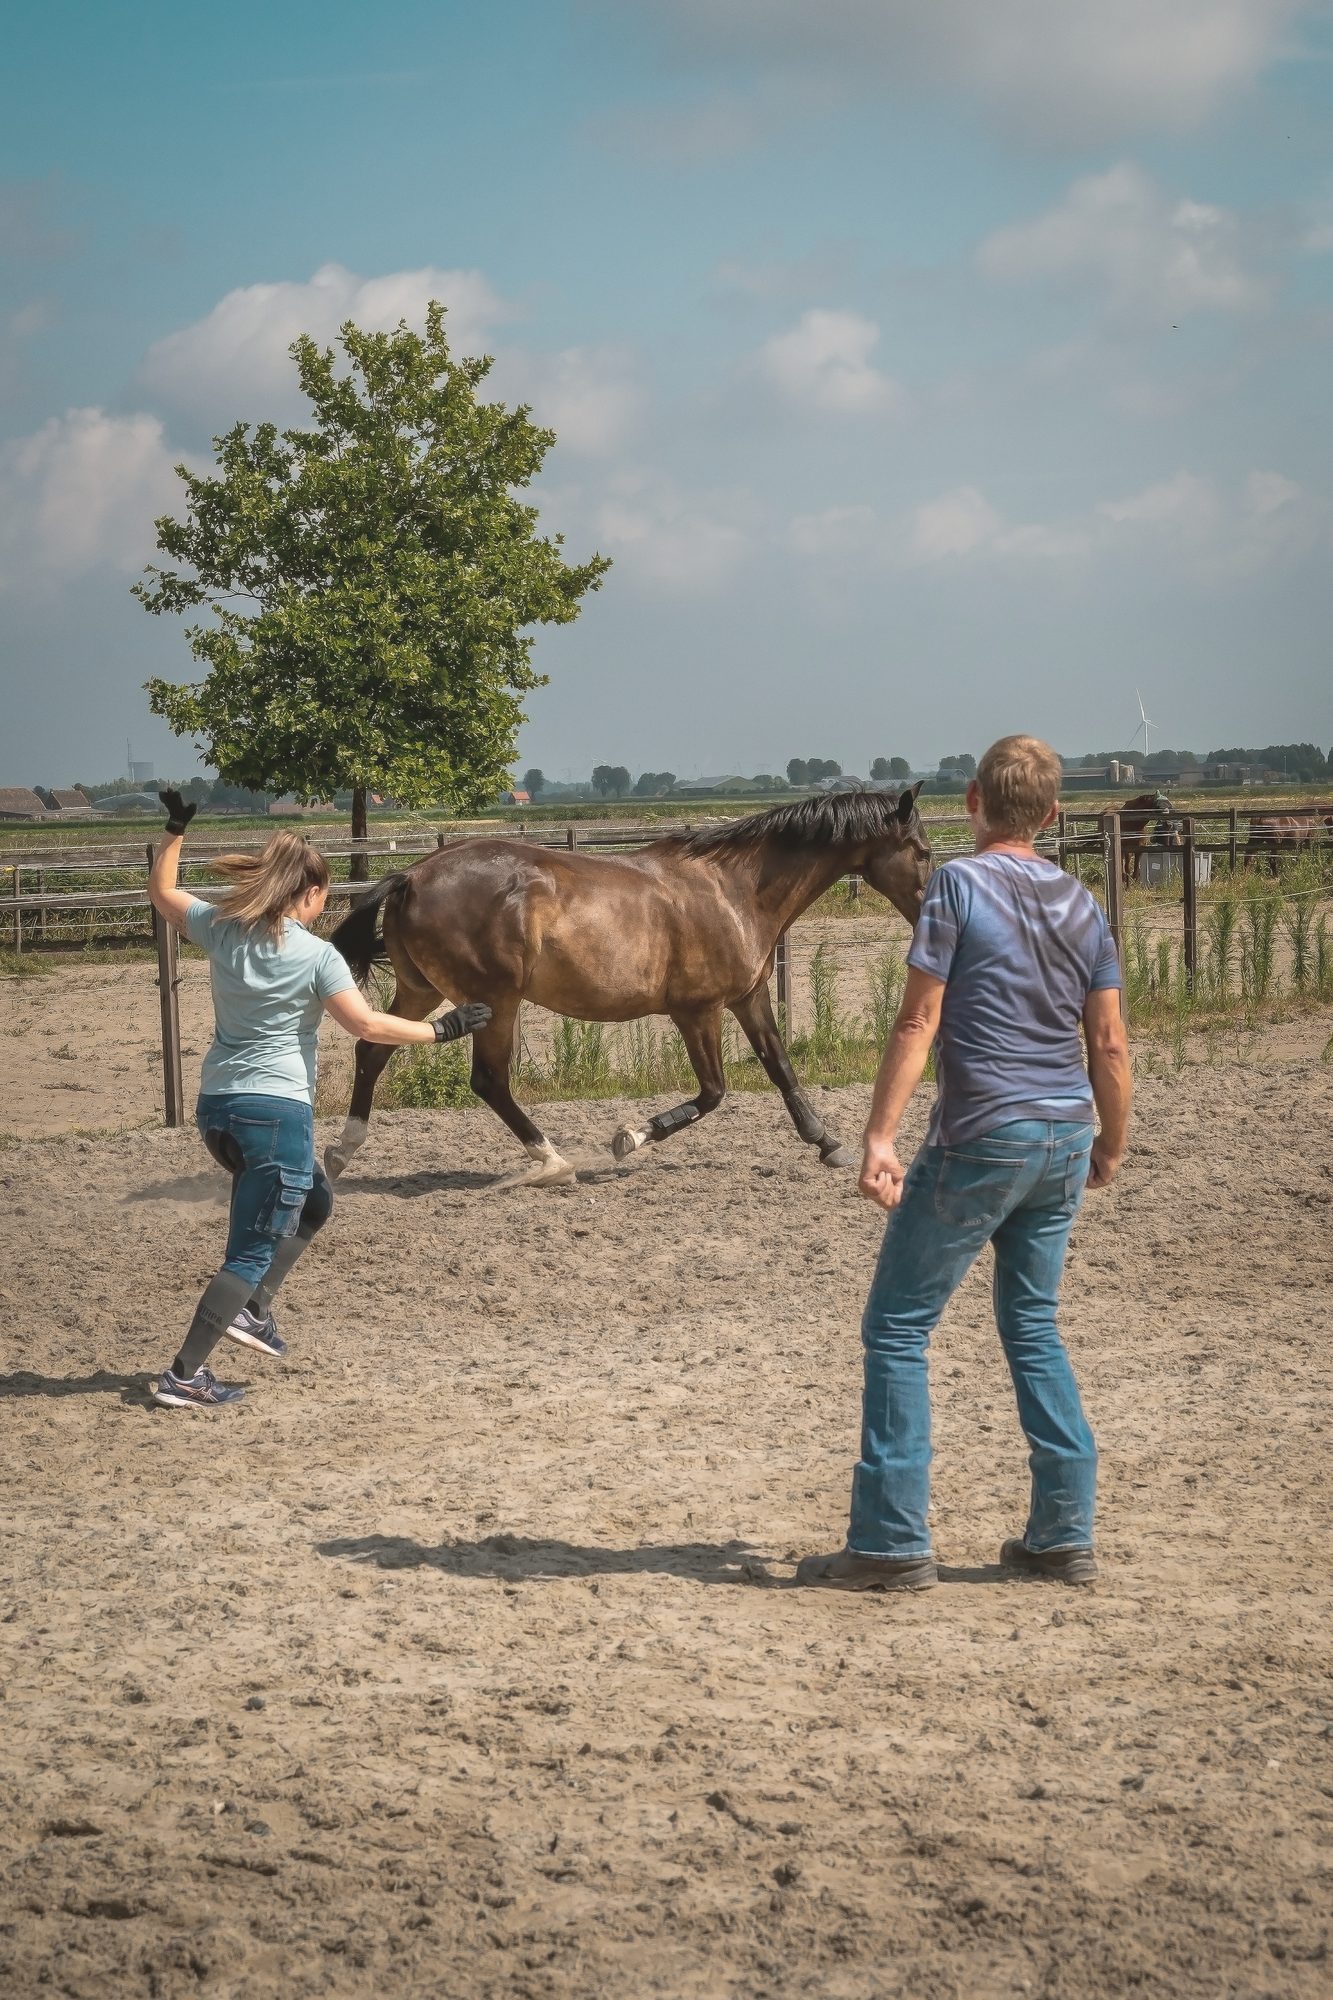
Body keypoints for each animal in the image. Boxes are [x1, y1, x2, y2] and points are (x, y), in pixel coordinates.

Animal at [324, 785, 931, 1188]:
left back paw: (341, 1152)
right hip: (497, 1000)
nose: (929, 913)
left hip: (422, 990)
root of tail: (412, 874)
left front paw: (829, 1145)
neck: (734, 890)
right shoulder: (698, 1011)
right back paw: (554, 1162)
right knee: (489, 1081)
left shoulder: (749, 998)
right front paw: (630, 1138)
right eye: (922, 851)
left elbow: (781, 1069)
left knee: (372, 1049)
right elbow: (714, 1092)